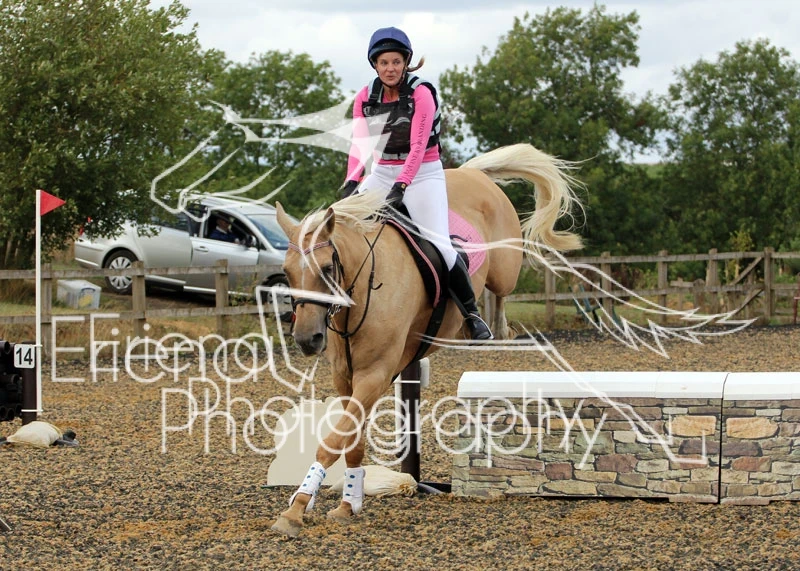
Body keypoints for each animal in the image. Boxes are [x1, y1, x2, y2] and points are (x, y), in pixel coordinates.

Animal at [271, 143, 583, 537]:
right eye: (287, 273)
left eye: (327, 269)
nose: (306, 339)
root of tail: (471, 173)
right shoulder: (346, 378)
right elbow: (352, 443)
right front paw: (348, 503)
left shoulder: (374, 375)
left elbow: (332, 444)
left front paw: (296, 509)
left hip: (504, 267)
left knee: (500, 291)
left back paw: (489, 327)